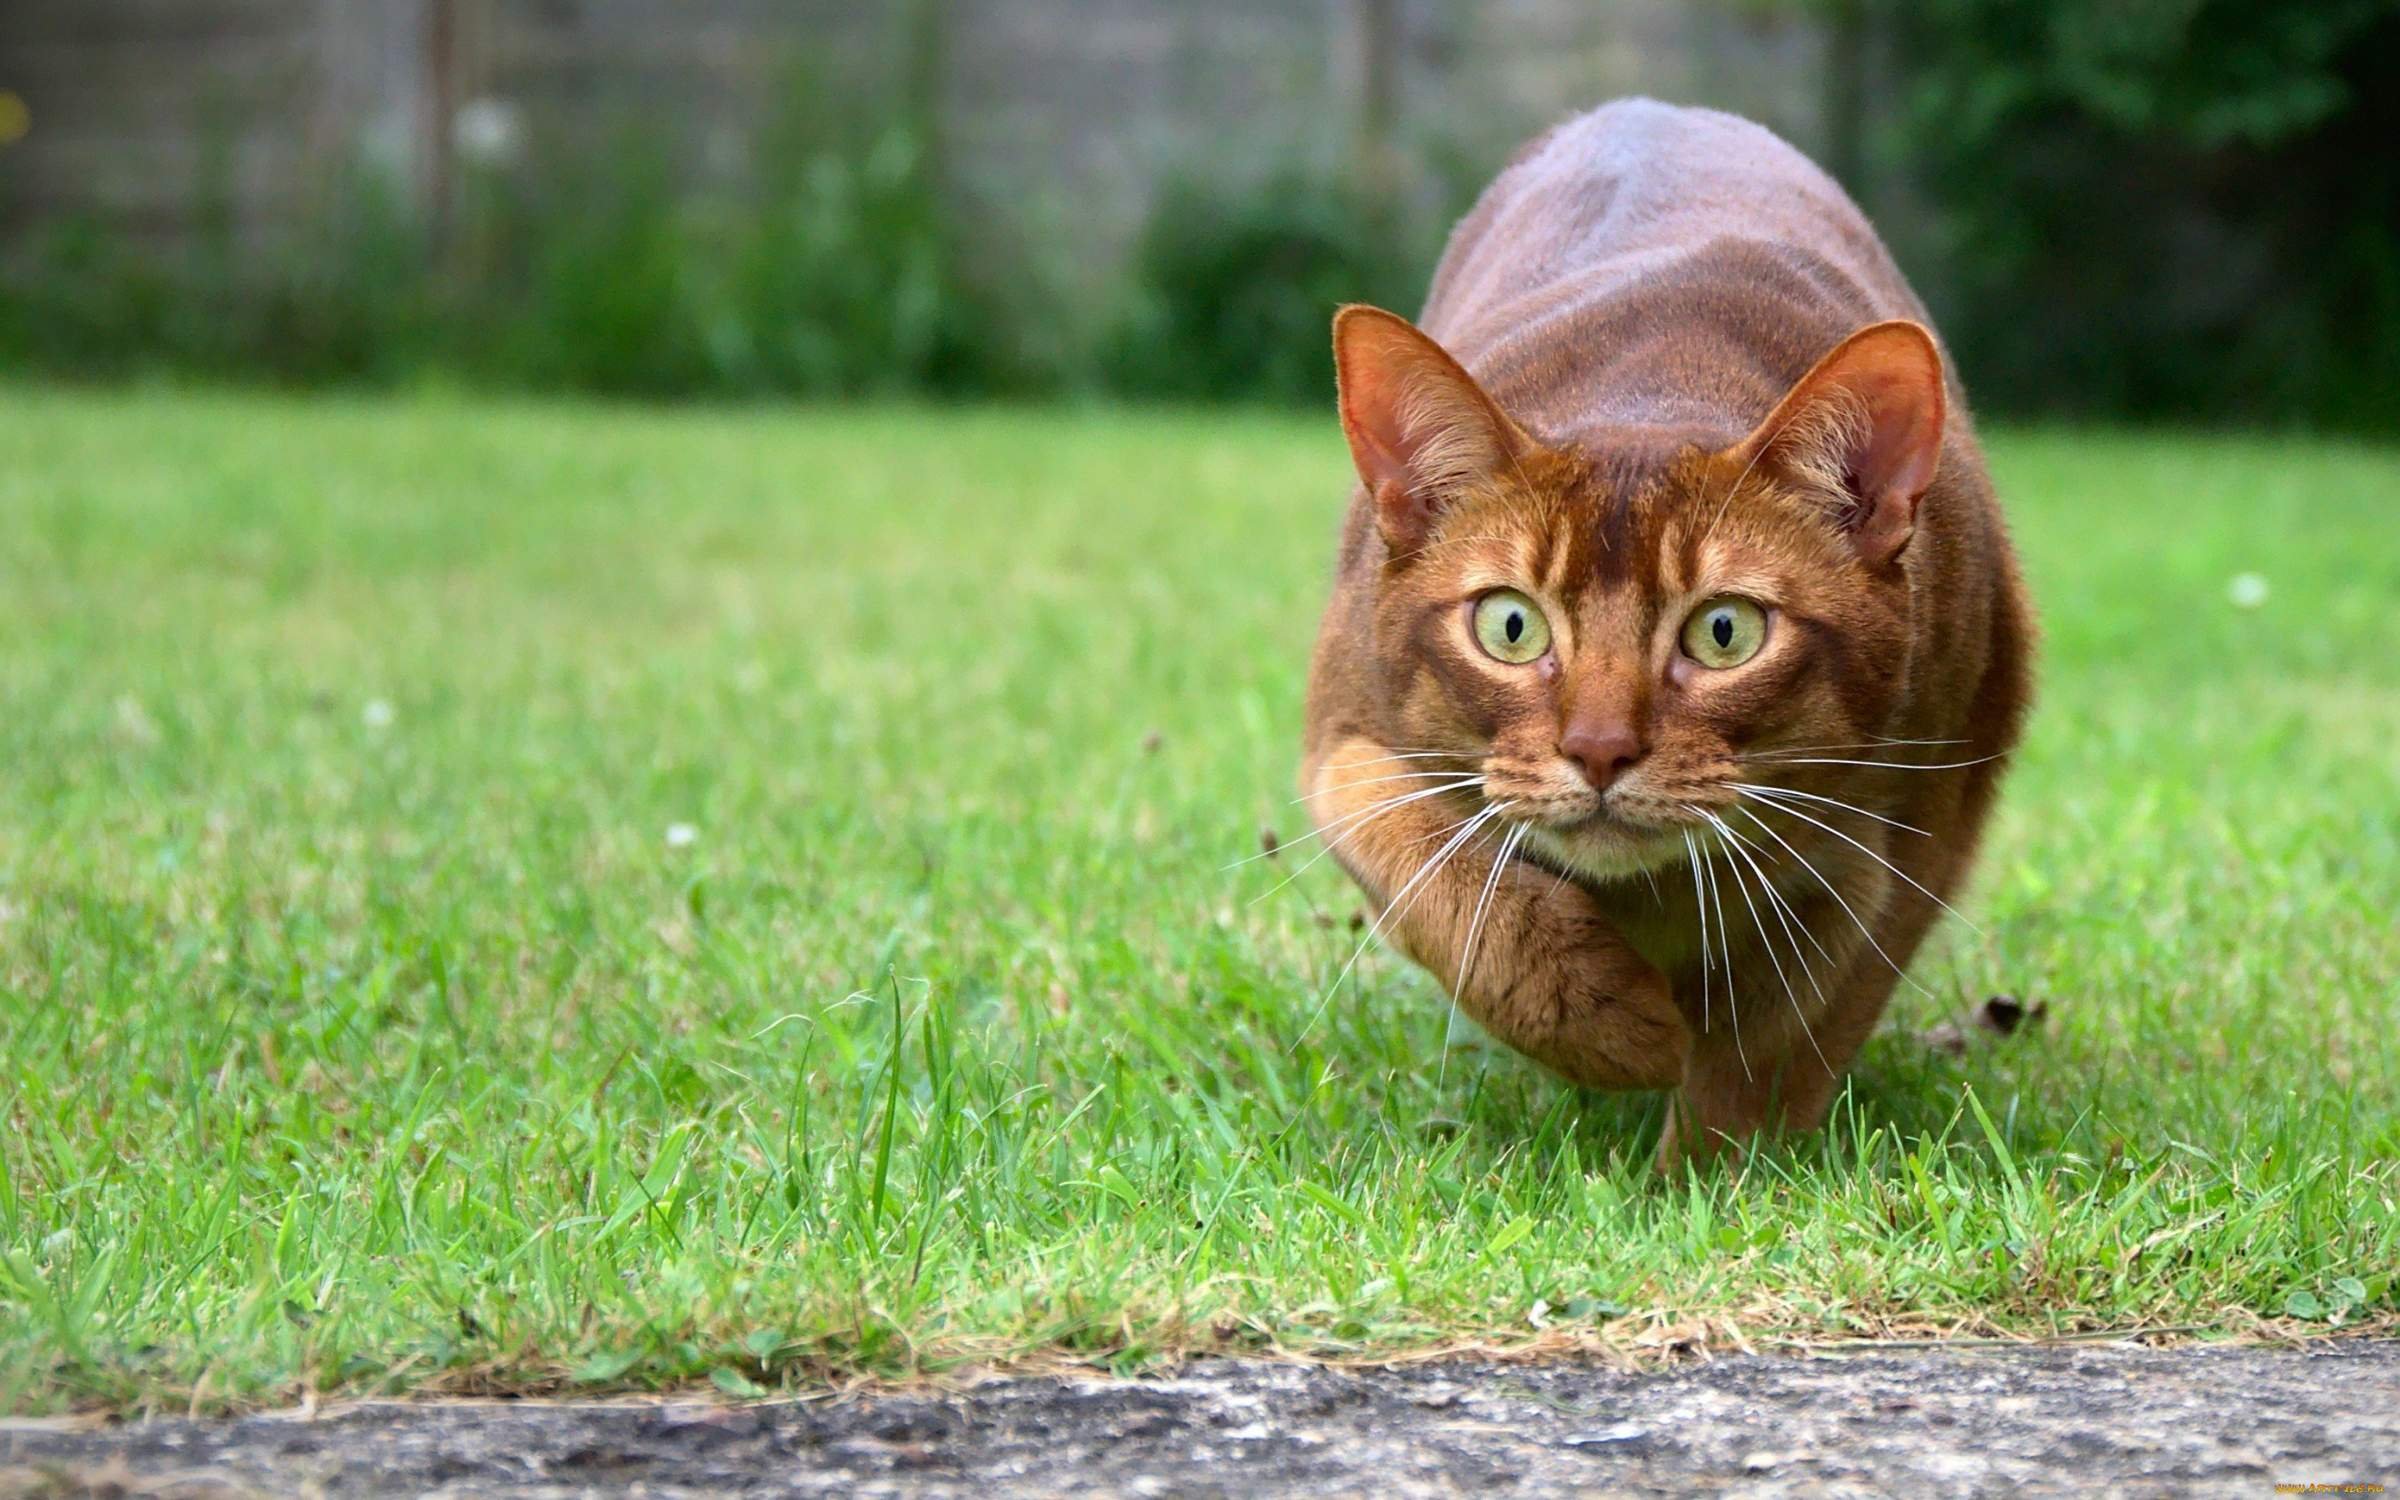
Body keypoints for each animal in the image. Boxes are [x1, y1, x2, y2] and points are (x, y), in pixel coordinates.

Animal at [1305, 99, 2035, 1166]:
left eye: (1724, 632)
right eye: (1511, 626)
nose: (1600, 750)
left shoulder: (1928, 810)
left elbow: (1781, 1036)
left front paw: (1708, 1180)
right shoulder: (1341, 737)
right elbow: (1441, 883)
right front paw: (1616, 1026)